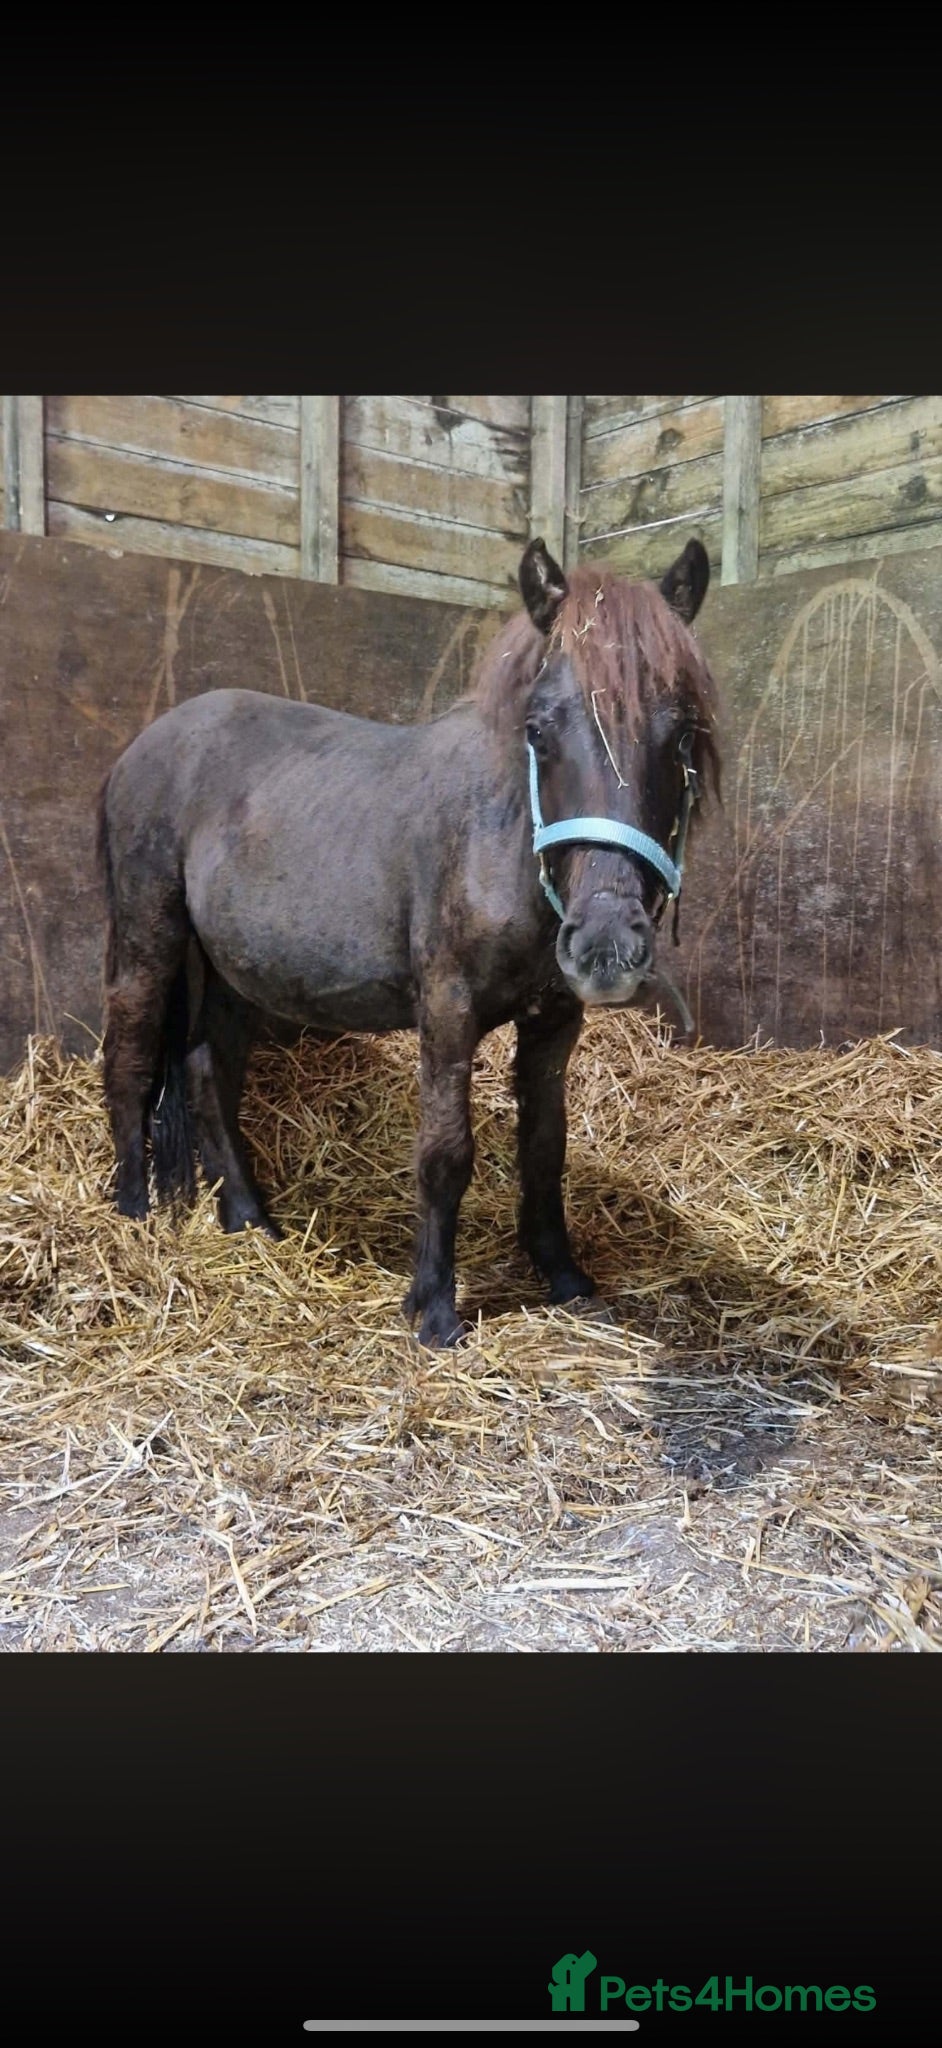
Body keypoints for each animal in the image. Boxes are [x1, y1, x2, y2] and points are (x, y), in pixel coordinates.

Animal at [96, 535, 721, 1348]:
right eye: (539, 729)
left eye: (681, 734)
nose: (608, 945)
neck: (501, 840)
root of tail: (142, 746)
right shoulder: (447, 1011)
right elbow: (445, 1155)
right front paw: (435, 1309)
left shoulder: (554, 1022)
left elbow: (544, 1148)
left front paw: (563, 1278)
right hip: (150, 939)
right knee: (132, 1063)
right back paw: (133, 1213)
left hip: (237, 971)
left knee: (207, 1075)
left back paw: (249, 1219)